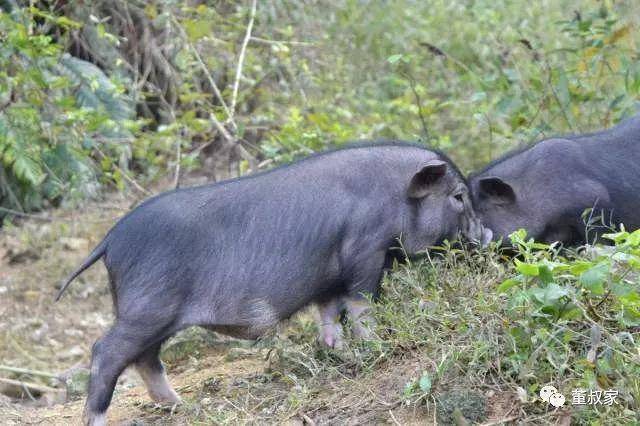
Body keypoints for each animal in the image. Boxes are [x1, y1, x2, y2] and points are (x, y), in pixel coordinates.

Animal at [57, 141, 488, 424]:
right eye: (458, 196)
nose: (486, 236)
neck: (393, 197)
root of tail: (111, 240)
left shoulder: (329, 278)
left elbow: (330, 316)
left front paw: (342, 353)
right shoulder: (365, 253)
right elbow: (362, 306)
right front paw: (376, 345)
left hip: (155, 314)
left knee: (145, 357)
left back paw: (183, 407)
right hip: (149, 306)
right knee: (106, 351)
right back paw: (100, 417)